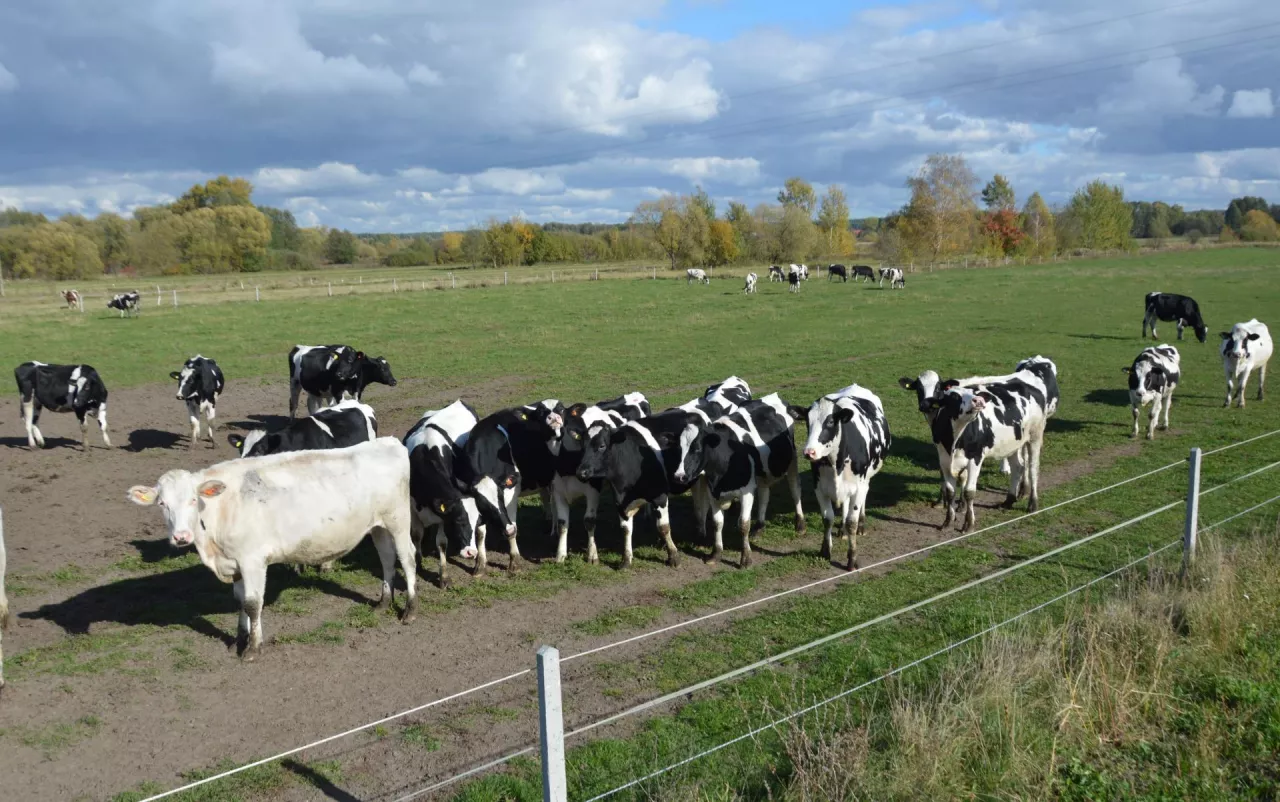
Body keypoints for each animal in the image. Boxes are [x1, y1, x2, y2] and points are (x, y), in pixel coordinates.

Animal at [124, 440, 417, 660]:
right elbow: (240, 601)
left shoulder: (252, 560)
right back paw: (383, 603)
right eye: (162, 503)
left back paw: (410, 610)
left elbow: (253, 604)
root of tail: (387, 442)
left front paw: (253, 649)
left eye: (193, 499)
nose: (181, 537)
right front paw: (238, 640)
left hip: (399, 520)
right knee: (387, 559)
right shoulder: (235, 563)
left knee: (407, 559)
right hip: (378, 526)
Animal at [401, 399, 481, 583]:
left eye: (477, 522)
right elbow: (416, 535)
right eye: (458, 520)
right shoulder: (412, 507)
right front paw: (418, 561)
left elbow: (442, 542)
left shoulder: (442, 514)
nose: (471, 552)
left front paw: (443, 577)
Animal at [458, 399, 563, 570]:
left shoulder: (512, 490)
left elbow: (513, 527)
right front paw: (480, 564)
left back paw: (554, 531)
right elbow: (480, 533)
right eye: (483, 503)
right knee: (546, 496)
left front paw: (514, 562)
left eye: (501, 495)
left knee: (554, 500)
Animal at [798, 383, 890, 567]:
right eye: (807, 422)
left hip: (865, 480)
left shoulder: (858, 486)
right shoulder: (819, 487)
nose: (809, 452)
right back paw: (841, 529)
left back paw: (861, 525)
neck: (836, 463)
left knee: (862, 499)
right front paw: (825, 550)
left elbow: (851, 522)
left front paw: (852, 558)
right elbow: (827, 518)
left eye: (830, 421)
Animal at [931, 378, 1049, 537]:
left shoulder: (975, 459)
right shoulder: (944, 461)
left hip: (1035, 436)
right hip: (1012, 444)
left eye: (973, 392)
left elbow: (969, 492)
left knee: (1033, 469)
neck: (953, 441)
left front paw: (969, 525)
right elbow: (950, 492)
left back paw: (1033, 505)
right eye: (955, 396)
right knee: (1018, 467)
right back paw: (1009, 500)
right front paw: (947, 522)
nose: (978, 400)